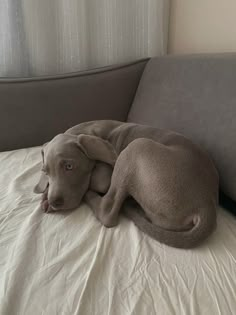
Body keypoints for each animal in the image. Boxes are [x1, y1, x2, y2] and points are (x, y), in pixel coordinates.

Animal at [34, 121, 218, 249]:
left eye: (69, 166)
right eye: (45, 171)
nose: (55, 202)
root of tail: (206, 204)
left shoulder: (108, 167)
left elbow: (99, 180)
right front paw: (45, 197)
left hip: (136, 147)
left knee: (108, 211)